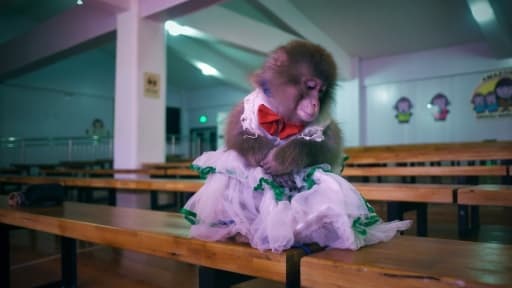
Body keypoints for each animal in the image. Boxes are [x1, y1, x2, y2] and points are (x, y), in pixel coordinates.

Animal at [225, 40, 342, 187]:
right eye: (310, 86)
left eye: (321, 91)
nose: (316, 104)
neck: (283, 116)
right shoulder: (249, 106)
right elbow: (236, 134)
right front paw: (264, 154)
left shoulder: (321, 120)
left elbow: (331, 147)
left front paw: (280, 161)